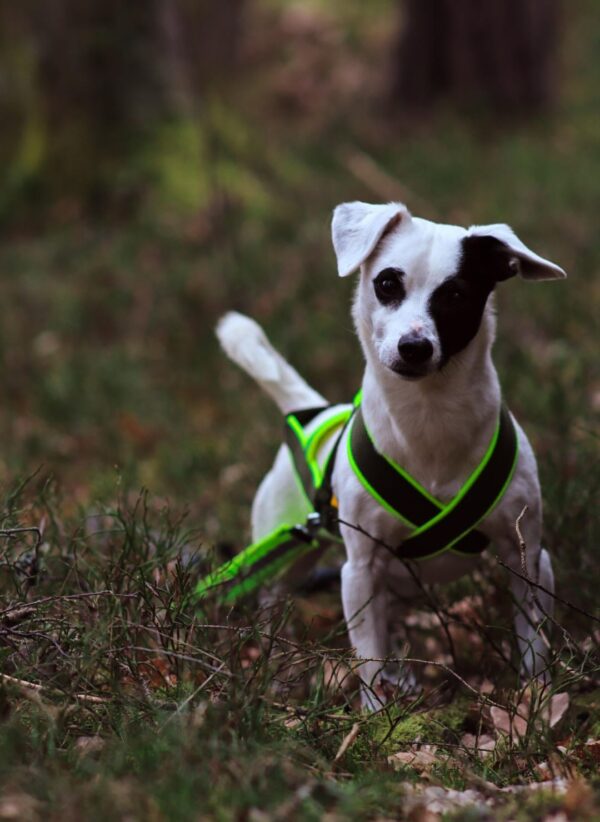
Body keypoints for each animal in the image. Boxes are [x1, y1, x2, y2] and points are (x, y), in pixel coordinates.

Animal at [217, 203, 568, 712]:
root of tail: (315, 415)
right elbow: (368, 654)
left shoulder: (528, 556)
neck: (430, 421)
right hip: (285, 558)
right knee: (273, 605)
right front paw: (376, 715)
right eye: (386, 283)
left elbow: (533, 638)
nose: (414, 346)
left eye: (456, 294)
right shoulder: (361, 570)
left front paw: (537, 701)